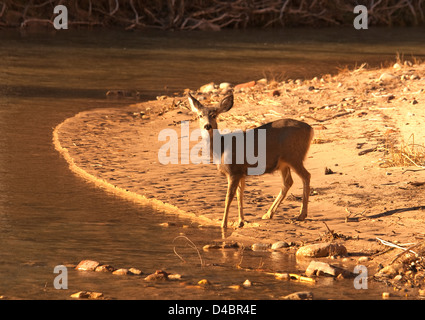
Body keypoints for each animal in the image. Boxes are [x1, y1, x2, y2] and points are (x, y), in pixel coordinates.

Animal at [187, 91, 314, 229]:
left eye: (214, 115)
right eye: (200, 115)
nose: (207, 126)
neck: (220, 149)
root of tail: (311, 129)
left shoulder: (233, 171)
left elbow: (228, 197)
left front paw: (223, 224)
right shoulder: (241, 172)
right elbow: (240, 194)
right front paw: (240, 221)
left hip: (294, 156)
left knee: (306, 176)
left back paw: (301, 215)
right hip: (283, 163)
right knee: (288, 182)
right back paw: (268, 214)